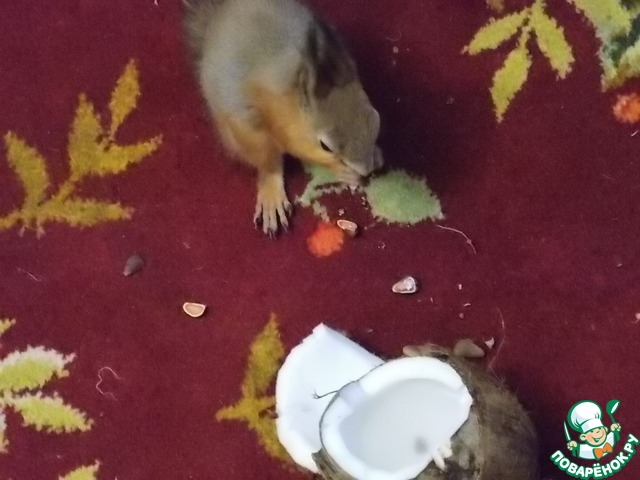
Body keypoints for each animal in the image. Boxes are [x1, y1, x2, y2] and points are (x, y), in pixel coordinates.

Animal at [183, 0, 383, 235]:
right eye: (325, 146)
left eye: (375, 122)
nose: (366, 172)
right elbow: (292, 146)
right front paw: (343, 171)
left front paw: (375, 155)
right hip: (247, 136)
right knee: (268, 164)